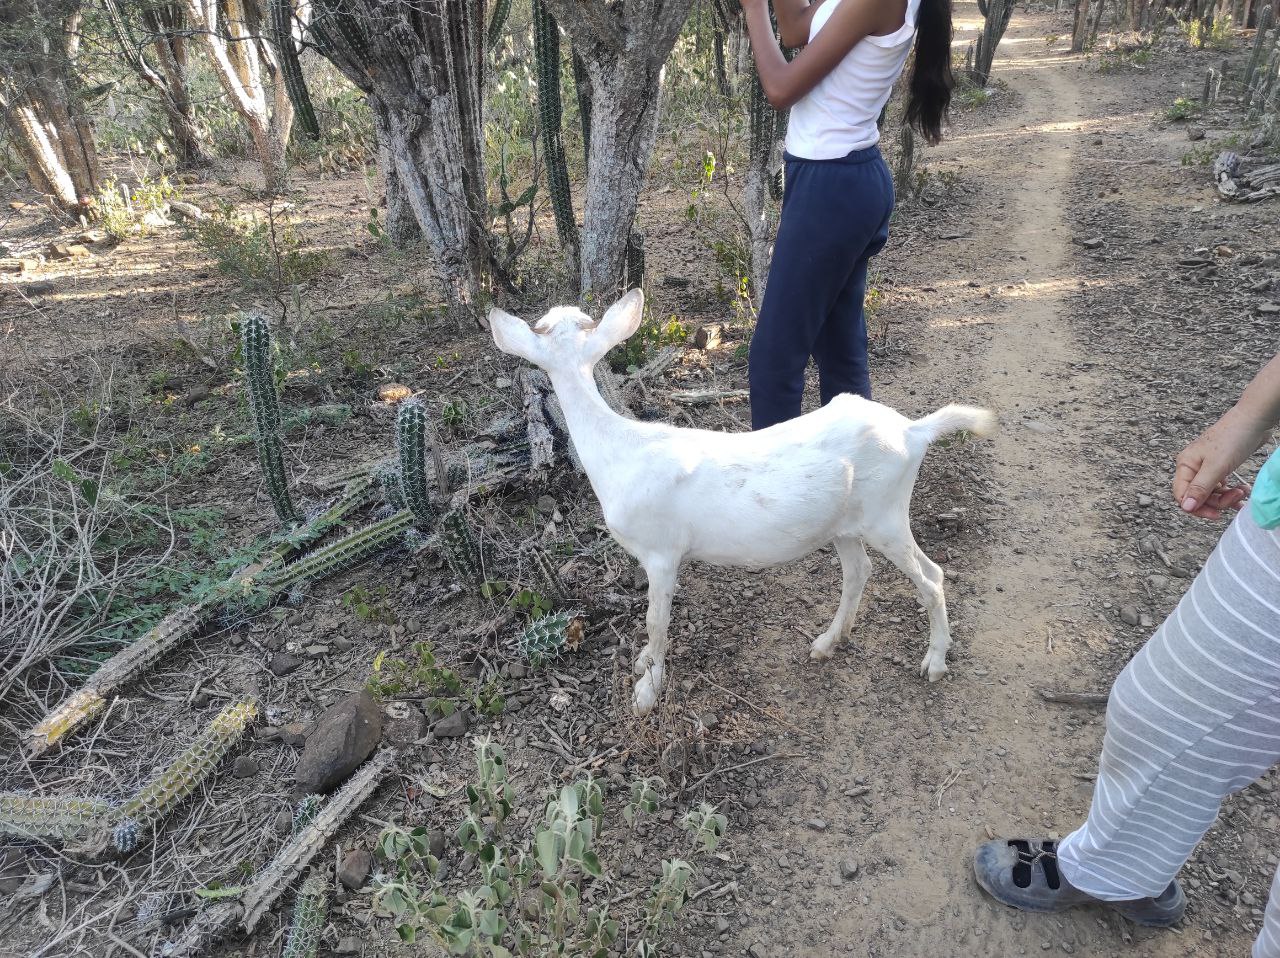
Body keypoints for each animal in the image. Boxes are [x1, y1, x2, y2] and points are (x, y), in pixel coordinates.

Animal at [483, 288, 993, 717]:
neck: (620, 452)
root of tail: (915, 432)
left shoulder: (662, 552)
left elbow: (655, 620)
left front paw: (647, 692)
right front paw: (643, 664)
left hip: (887, 514)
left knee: (932, 575)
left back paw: (934, 662)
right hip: (845, 524)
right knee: (859, 571)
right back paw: (828, 642)